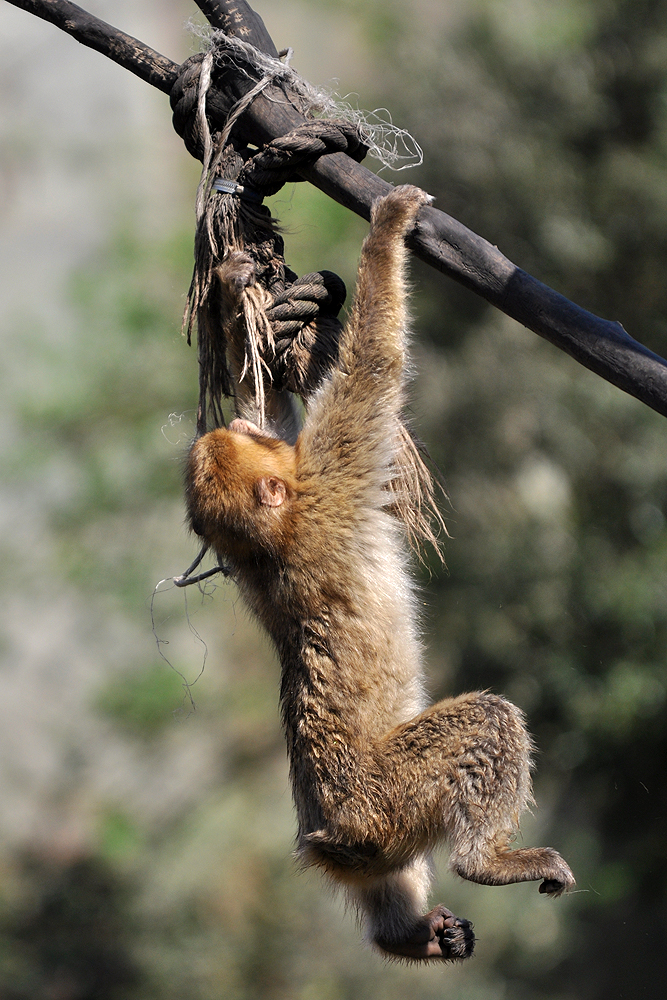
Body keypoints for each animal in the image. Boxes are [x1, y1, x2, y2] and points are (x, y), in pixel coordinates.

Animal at [185, 184, 576, 956]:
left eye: (235, 439)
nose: (235, 432)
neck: (273, 539)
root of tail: (333, 832)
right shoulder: (334, 478)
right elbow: (370, 371)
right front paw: (386, 229)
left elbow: (279, 405)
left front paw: (240, 292)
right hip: (389, 795)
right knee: (483, 725)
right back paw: (488, 860)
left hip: (373, 837)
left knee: (387, 876)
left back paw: (408, 934)